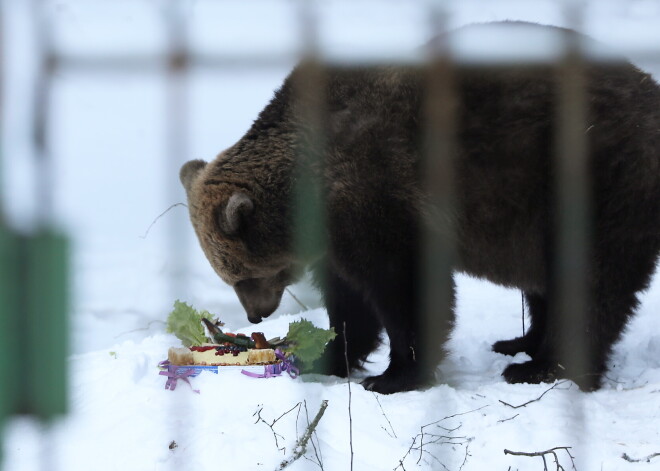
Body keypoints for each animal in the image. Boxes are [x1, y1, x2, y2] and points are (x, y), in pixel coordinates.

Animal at [180, 22, 660, 392]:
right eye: (229, 276)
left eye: (241, 275)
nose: (255, 313)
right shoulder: (338, 234)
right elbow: (348, 301)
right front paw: (327, 355)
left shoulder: (381, 197)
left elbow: (404, 287)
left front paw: (393, 375)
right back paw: (519, 343)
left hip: (593, 178)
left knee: (592, 279)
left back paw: (540, 367)